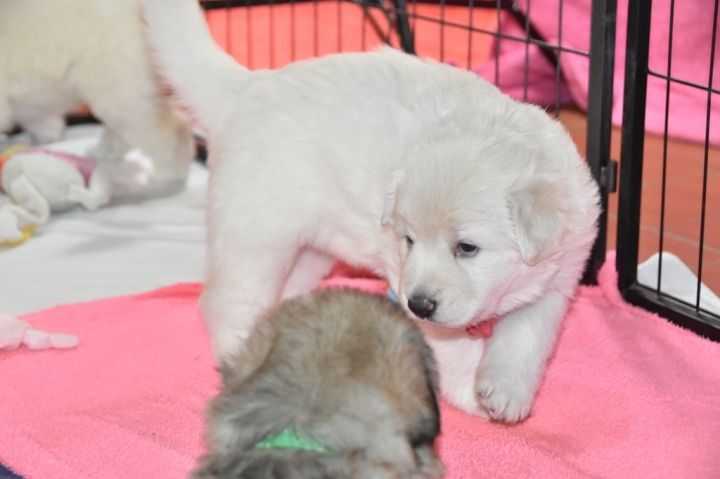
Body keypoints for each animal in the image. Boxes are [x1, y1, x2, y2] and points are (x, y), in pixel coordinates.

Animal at [0, 0, 194, 184]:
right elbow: (37, 118)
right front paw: (47, 133)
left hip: (119, 94)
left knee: (171, 130)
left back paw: (170, 173)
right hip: (119, 96)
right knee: (122, 133)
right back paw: (104, 152)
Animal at [142, 0, 600, 423]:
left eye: (467, 247)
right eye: (409, 240)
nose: (418, 305)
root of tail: (249, 86)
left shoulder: (559, 279)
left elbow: (525, 337)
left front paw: (505, 393)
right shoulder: (409, 282)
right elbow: (455, 347)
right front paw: (472, 393)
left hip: (310, 251)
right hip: (255, 233)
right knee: (227, 302)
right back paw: (240, 360)